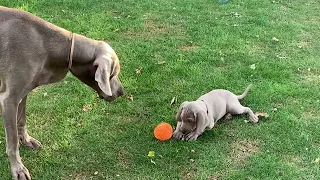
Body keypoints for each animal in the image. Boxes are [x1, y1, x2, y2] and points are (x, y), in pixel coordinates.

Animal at [0, 6, 124, 179]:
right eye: (113, 74)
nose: (122, 92)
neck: (45, 45)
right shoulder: (9, 99)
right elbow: (12, 142)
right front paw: (18, 169)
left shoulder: (23, 92)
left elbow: (22, 120)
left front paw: (27, 140)